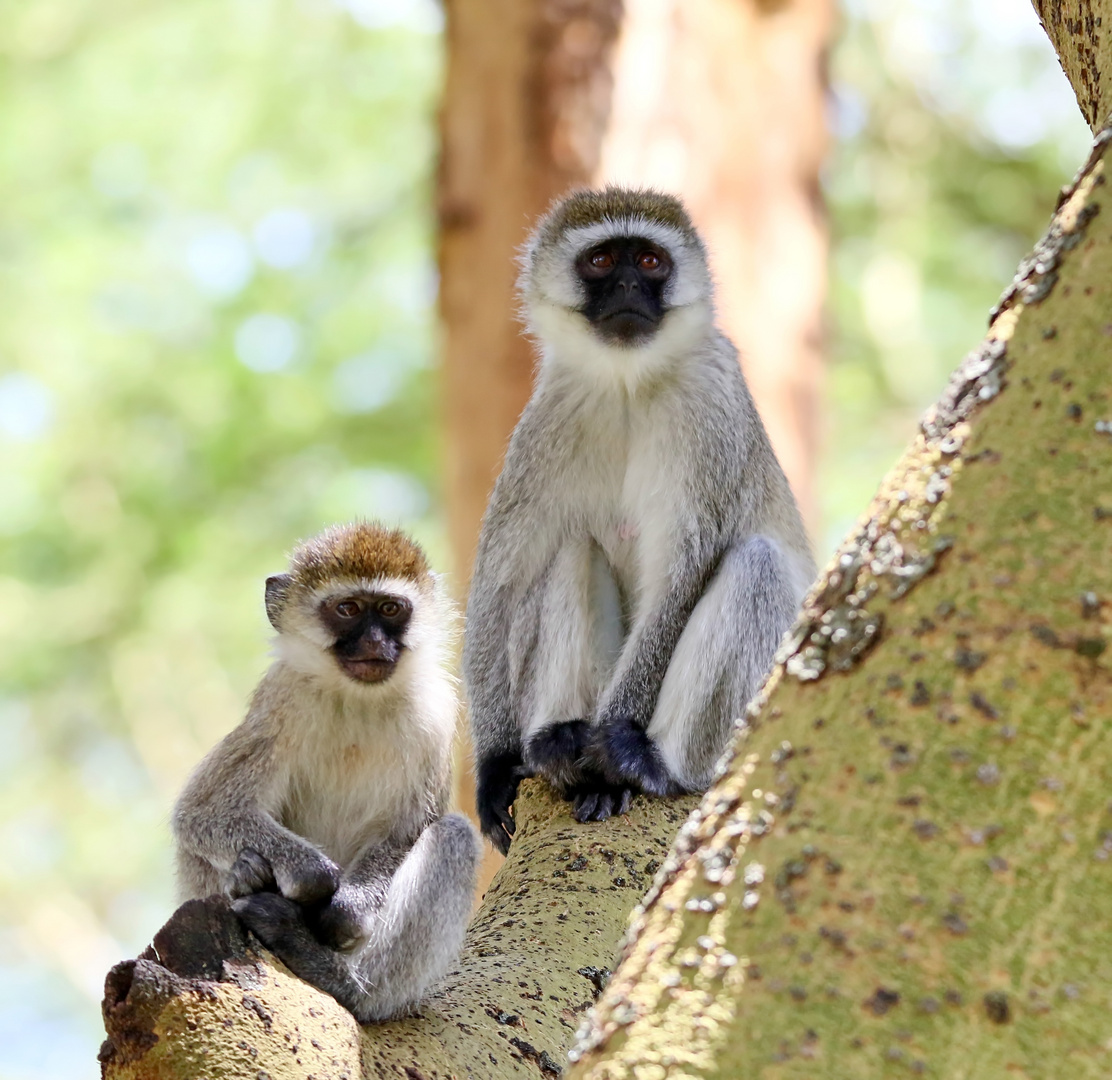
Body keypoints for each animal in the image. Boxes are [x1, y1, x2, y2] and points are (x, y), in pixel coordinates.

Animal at [171, 522, 480, 1023]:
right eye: (347, 609)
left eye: (390, 609)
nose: (374, 644)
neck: (356, 698)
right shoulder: (279, 703)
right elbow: (203, 812)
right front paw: (310, 875)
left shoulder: (436, 714)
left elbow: (410, 828)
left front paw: (345, 910)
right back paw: (248, 879)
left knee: (453, 836)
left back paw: (341, 981)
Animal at [462, 190, 818, 858]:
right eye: (602, 260)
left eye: (650, 261)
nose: (628, 284)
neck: (628, 383)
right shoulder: (546, 419)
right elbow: (502, 582)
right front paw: (495, 766)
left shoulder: (713, 401)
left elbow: (682, 573)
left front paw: (616, 752)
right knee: (573, 550)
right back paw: (559, 745)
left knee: (756, 564)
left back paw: (648, 764)